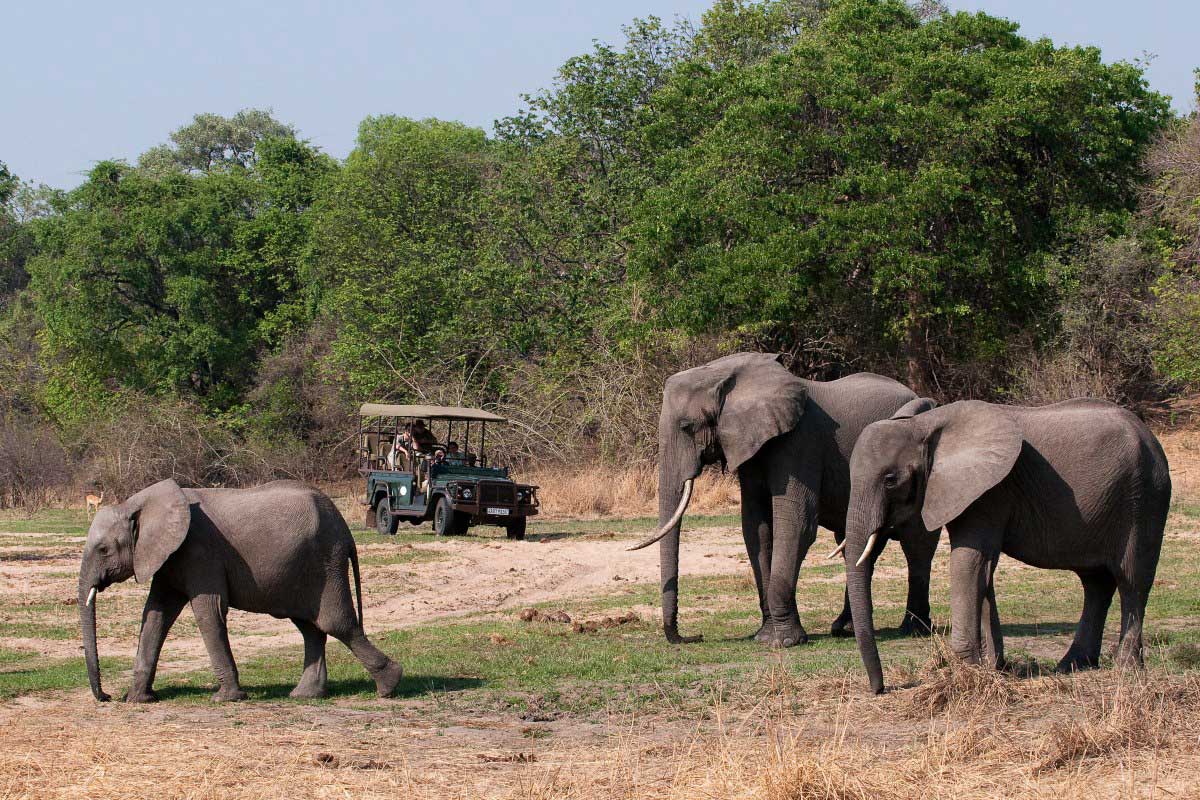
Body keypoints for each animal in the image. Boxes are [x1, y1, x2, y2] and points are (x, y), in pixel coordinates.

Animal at [83, 482, 408, 700]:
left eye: (103, 550)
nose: (107, 697)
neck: (138, 504)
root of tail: (346, 529)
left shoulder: (200, 552)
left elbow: (209, 612)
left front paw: (226, 698)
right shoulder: (167, 557)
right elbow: (155, 615)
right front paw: (138, 700)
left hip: (327, 562)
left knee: (335, 623)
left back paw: (389, 687)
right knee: (310, 628)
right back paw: (304, 695)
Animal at [624, 352, 940, 647]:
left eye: (687, 426)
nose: (694, 637)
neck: (731, 375)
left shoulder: (799, 443)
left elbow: (796, 525)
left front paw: (785, 642)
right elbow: (756, 528)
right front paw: (765, 637)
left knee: (917, 546)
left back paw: (914, 630)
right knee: (857, 545)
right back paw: (845, 629)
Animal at [844, 400, 1171, 695]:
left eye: (890, 480)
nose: (880, 689)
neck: (922, 426)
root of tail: (1151, 436)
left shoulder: (990, 493)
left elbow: (969, 562)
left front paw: (967, 672)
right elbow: (983, 569)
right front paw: (994, 668)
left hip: (1143, 499)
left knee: (1132, 581)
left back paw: (1126, 669)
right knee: (1096, 583)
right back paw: (1072, 666)